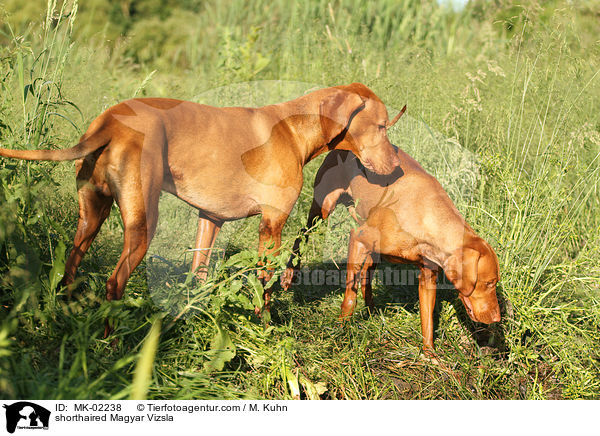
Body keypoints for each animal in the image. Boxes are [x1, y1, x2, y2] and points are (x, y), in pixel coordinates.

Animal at [1, 82, 404, 334]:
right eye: (382, 126)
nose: (398, 166)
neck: (294, 130)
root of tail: (110, 121)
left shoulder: (210, 219)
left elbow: (198, 276)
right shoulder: (272, 224)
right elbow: (264, 285)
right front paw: (266, 325)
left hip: (91, 216)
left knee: (71, 264)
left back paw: (69, 317)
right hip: (142, 225)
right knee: (114, 283)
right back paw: (110, 340)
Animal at [282, 148, 502, 356]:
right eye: (489, 283)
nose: (497, 318)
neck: (427, 216)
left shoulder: (427, 276)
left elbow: (428, 321)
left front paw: (430, 355)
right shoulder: (358, 239)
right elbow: (350, 297)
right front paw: (342, 328)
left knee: (366, 275)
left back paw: (371, 311)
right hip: (323, 208)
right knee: (302, 234)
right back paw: (290, 274)